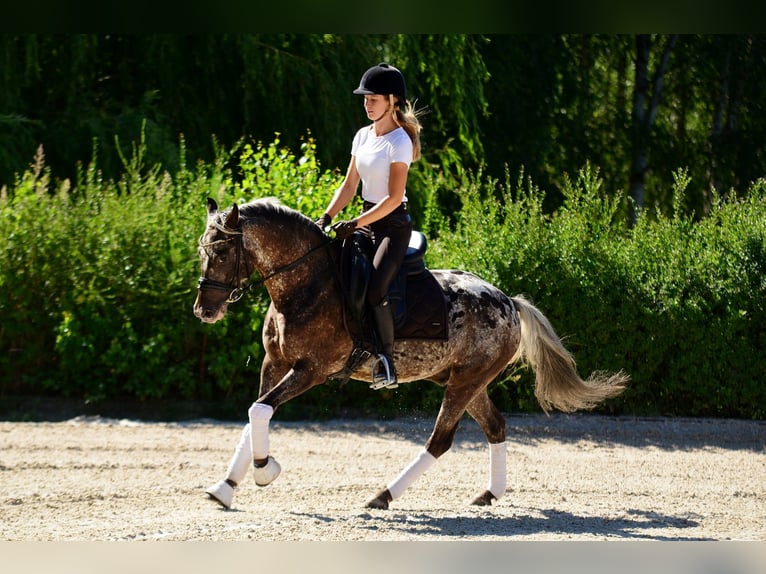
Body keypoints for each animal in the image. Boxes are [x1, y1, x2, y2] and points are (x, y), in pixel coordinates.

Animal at [193, 196, 628, 510]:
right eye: (202, 253)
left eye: (222, 253)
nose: (204, 311)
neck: (307, 283)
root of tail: (508, 301)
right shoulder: (276, 363)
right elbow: (254, 414)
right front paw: (225, 487)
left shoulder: (311, 369)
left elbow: (260, 410)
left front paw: (265, 471)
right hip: (467, 381)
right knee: (495, 426)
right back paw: (488, 494)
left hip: (465, 382)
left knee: (439, 441)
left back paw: (382, 496)